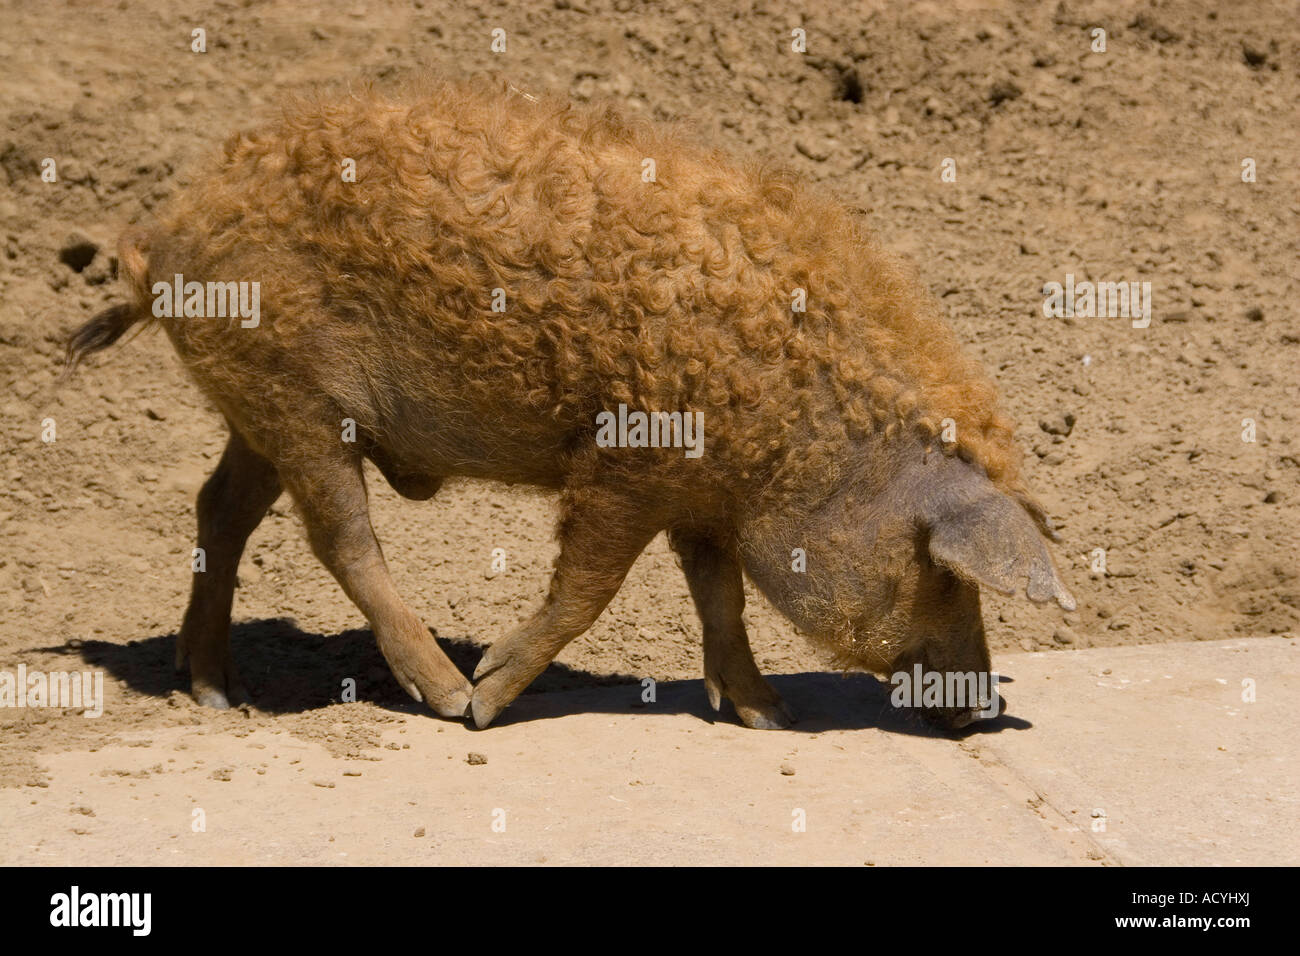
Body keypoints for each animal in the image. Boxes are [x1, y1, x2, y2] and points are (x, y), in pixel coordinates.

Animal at [65, 75, 1074, 731]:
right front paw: (488, 700)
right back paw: (442, 693)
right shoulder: (626, 463)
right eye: (943, 573)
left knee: (219, 511)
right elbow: (590, 585)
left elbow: (719, 595)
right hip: (295, 396)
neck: (800, 424)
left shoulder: (700, 493)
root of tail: (163, 234)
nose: (984, 711)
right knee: (342, 537)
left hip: (257, 407)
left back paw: (213, 694)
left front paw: (766, 715)